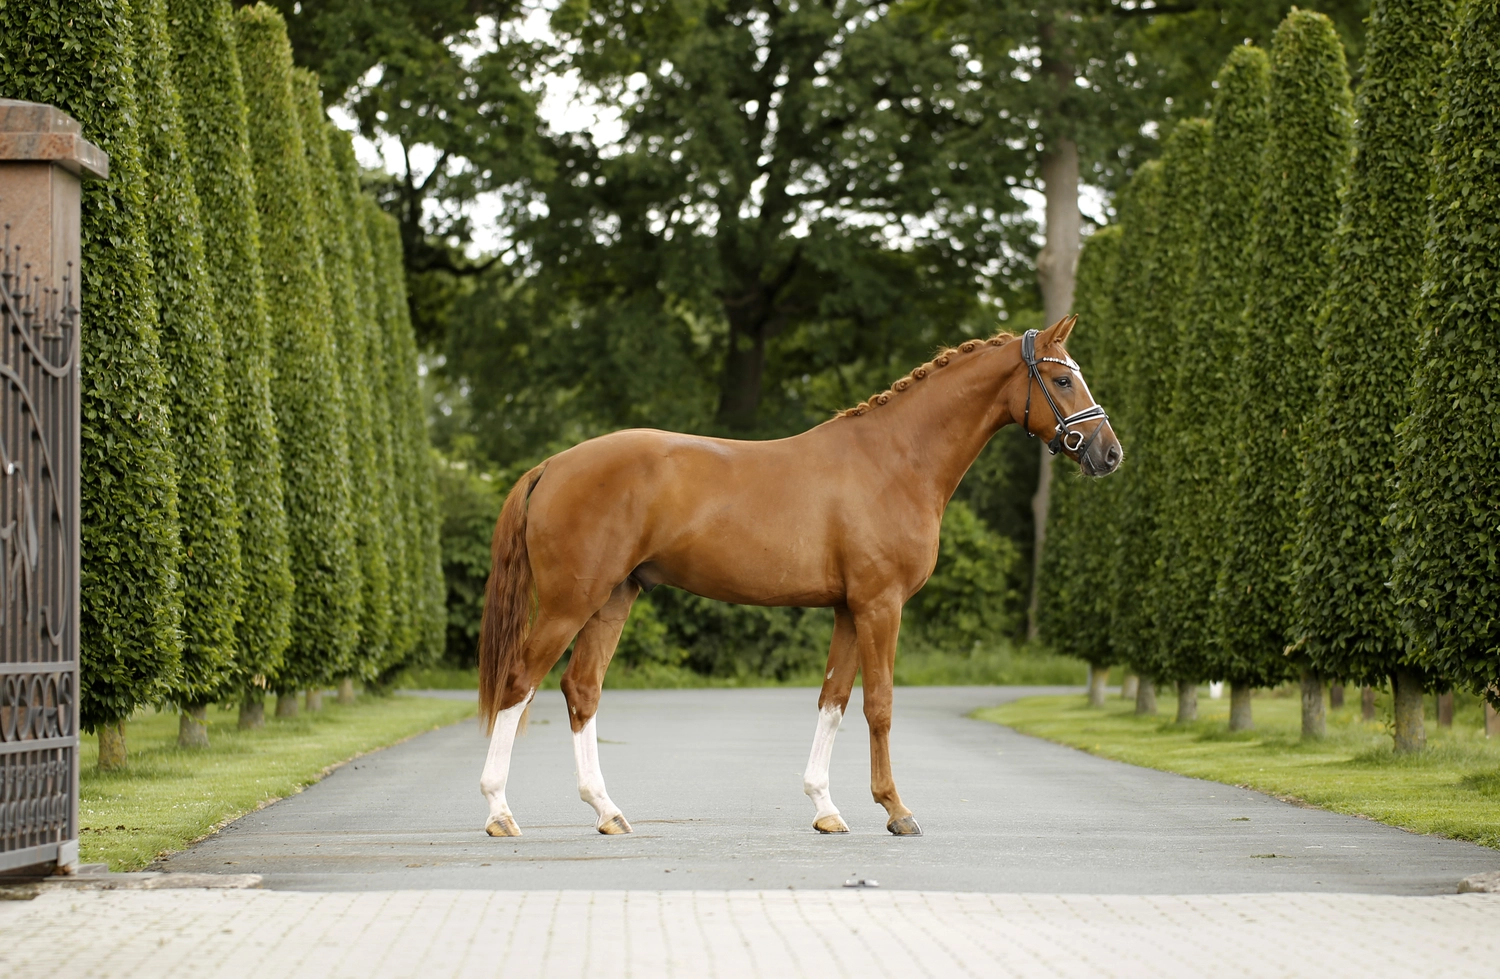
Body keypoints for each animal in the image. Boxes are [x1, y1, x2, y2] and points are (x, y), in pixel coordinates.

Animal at [476, 314, 1120, 838]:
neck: (894, 460)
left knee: (581, 689)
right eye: (1063, 380)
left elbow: (833, 699)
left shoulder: (848, 609)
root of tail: (554, 464)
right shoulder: (880, 605)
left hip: (614, 597)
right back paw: (500, 812)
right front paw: (896, 810)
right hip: (569, 602)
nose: (1108, 453)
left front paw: (825, 808)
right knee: (519, 683)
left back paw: (607, 811)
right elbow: (879, 703)